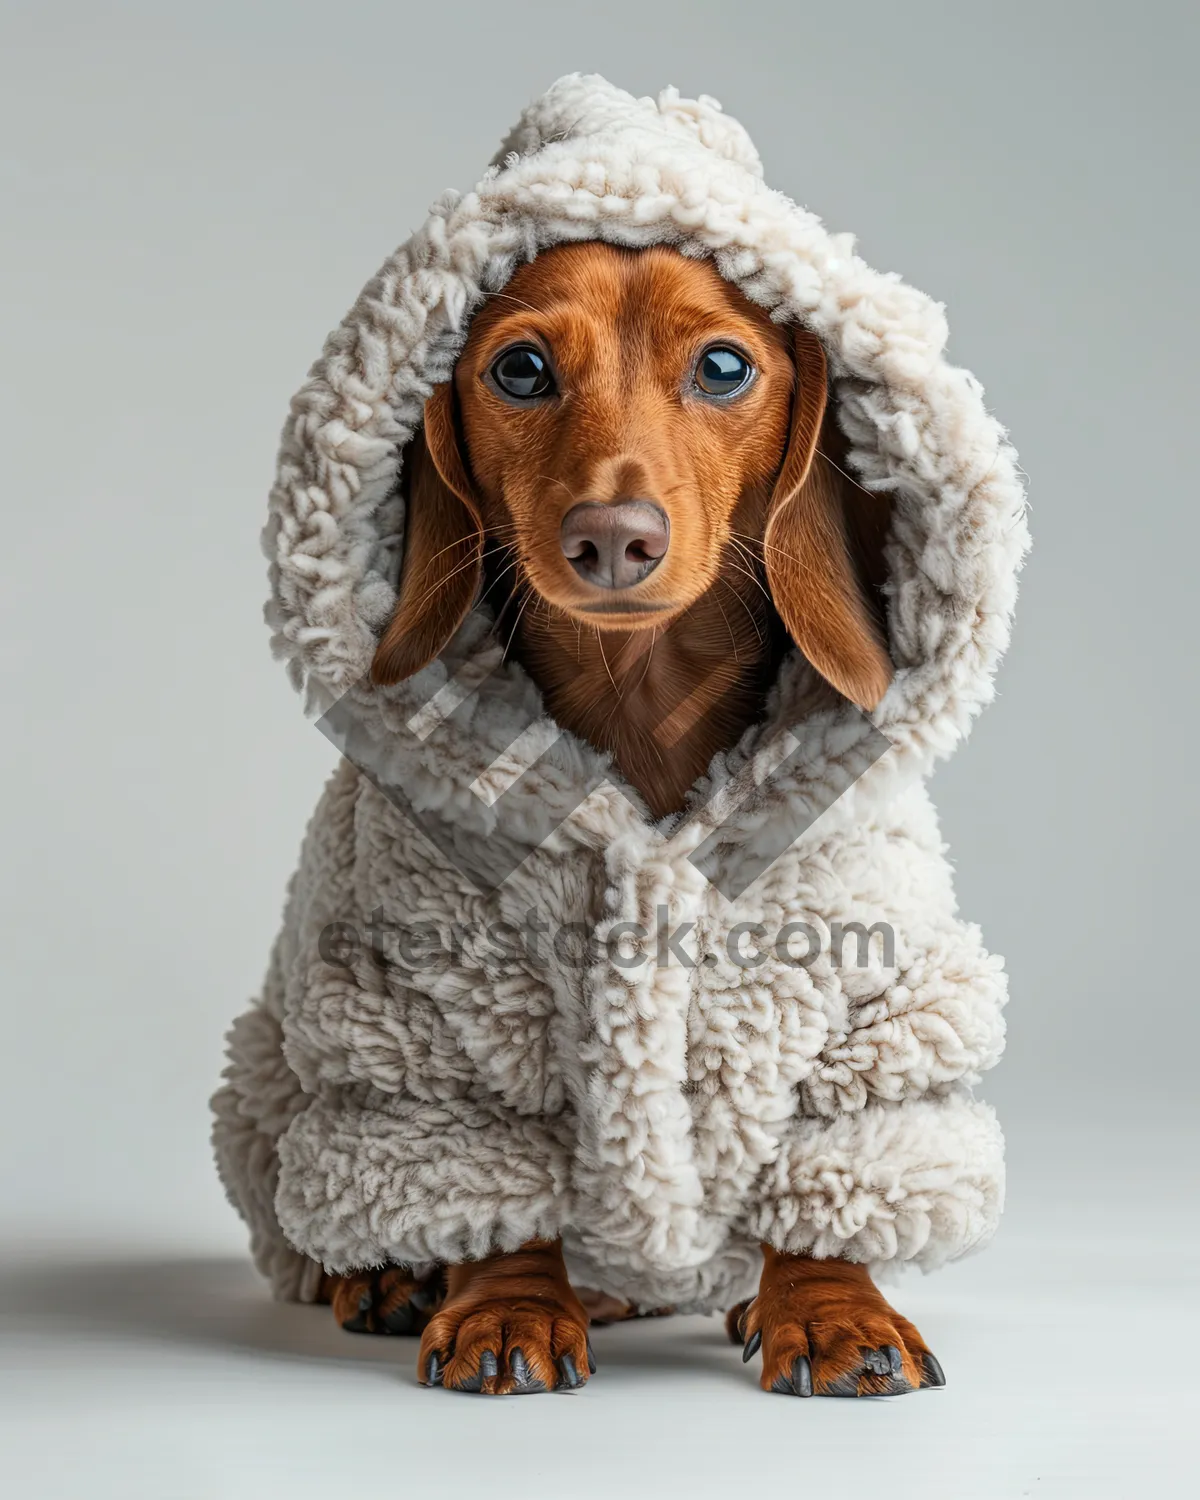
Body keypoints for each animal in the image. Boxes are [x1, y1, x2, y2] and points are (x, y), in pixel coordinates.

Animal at [316, 240, 948, 1398]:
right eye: (519, 369)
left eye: (725, 367)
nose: (613, 537)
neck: (641, 706)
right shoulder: (437, 1008)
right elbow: (489, 1188)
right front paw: (507, 1308)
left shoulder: (865, 998)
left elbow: (834, 1171)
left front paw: (831, 1311)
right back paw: (388, 1275)